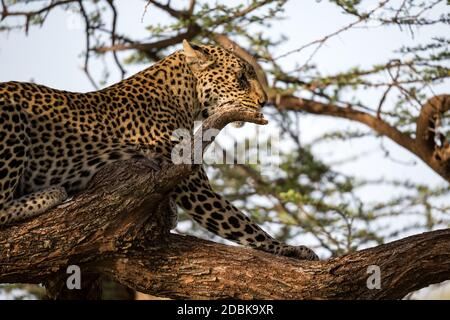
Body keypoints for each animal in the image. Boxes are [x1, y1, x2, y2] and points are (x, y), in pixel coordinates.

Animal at [0, 39, 318, 260]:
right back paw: (49, 195)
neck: (186, 98)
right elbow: (242, 224)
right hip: (11, 118)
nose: (265, 101)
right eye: (241, 77)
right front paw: (291, 250)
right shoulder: (193, 185)